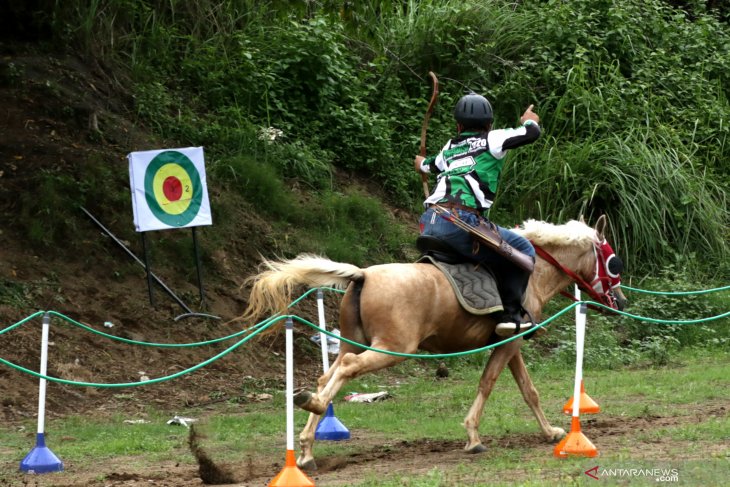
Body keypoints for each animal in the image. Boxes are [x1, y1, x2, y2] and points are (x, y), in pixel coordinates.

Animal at [240, 216, 624, 468]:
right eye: (612, 262)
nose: (619, 301)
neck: (533, 275)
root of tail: (362, 274)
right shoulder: (508, 344)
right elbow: (489, 384)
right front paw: (473, 437)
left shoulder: (510, 345)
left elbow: (529, 391)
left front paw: (550, 432)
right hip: (391, 349)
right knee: (346, 369)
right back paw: (315, 410)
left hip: (355, 343)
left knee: (327, 376)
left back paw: (306, 444)